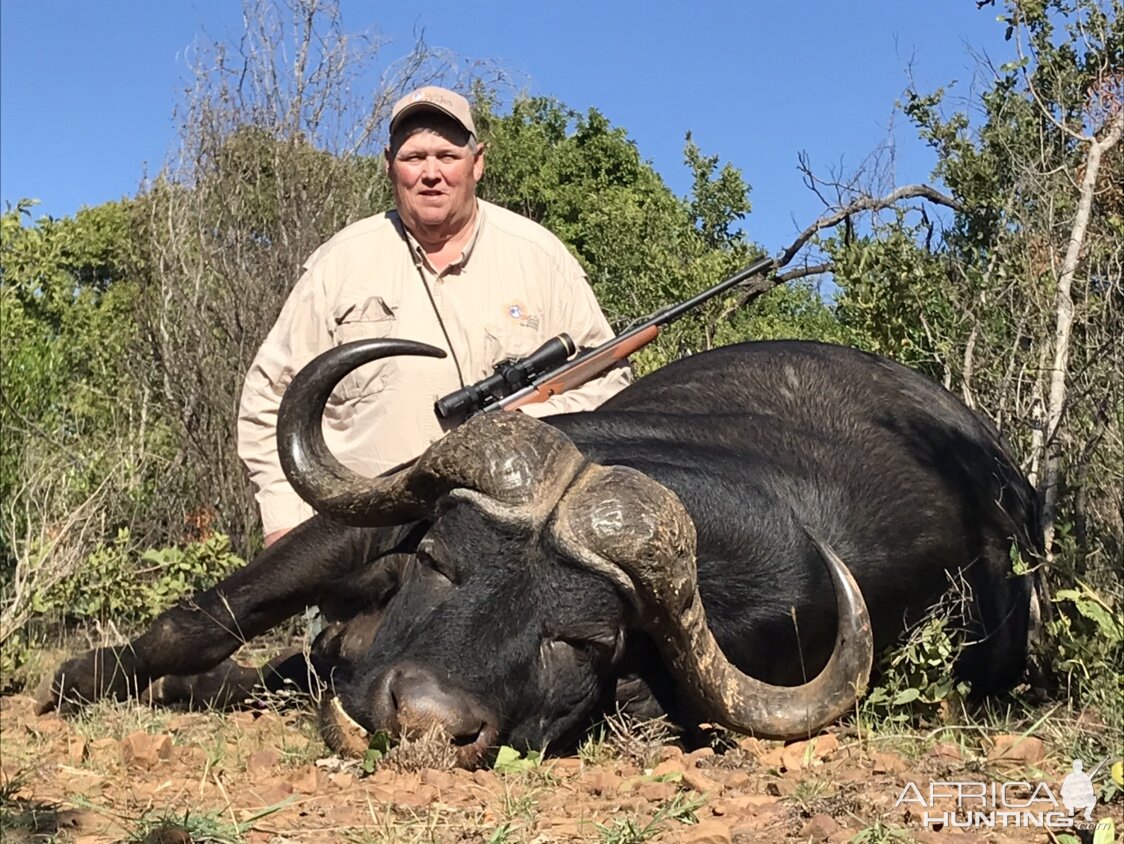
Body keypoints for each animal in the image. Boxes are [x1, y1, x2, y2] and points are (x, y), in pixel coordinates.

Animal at [37, 337, 1034, 764]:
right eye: (439, 564)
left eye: (582, 643)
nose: (423, 722)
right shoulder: (366, 522)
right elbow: (203, 620)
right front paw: (78, 681)